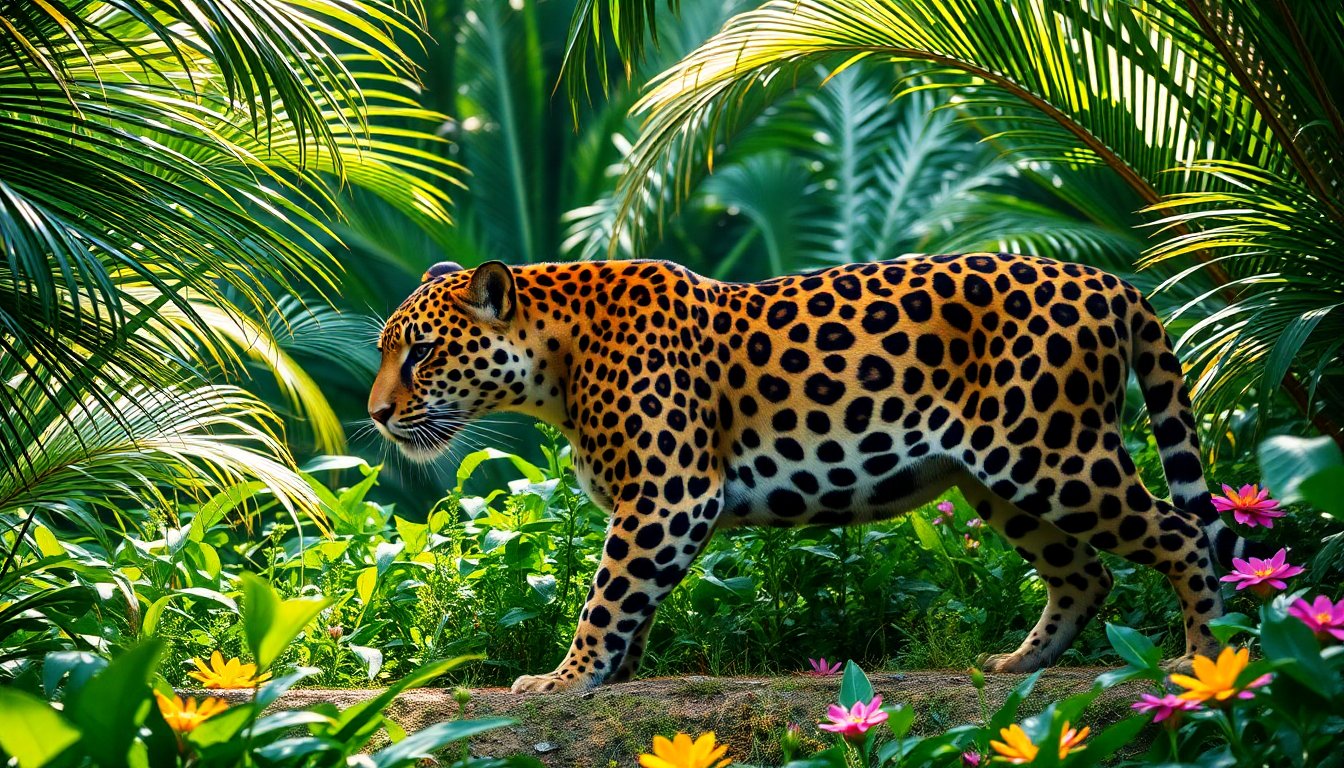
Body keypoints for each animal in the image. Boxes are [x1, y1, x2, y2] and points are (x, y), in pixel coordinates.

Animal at [368, 253, 1267, 693]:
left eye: (421, 352)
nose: (376, 415)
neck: (555, 361)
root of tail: (1116, 282)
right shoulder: (652, 509)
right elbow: (633, 602)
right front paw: (611, 673)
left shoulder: (667, 496)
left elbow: (607, 596)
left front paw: (565, 679)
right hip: (997, 477)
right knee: (1084, 572)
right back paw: (1017, 665)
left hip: (1055, 454)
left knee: (1182, 532)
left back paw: (1202, 659)